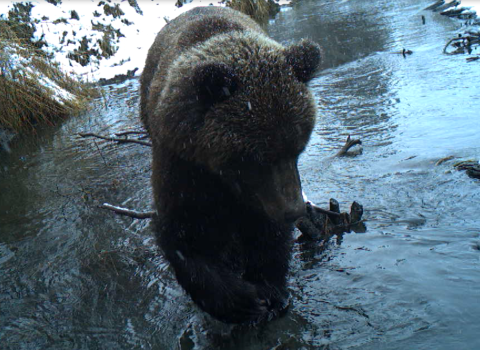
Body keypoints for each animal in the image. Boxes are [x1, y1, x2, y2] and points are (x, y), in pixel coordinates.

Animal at [141, 5, 320, 324]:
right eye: (256, 157)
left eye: (298, 147)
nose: (294, 210)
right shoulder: (182, 165)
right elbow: (185, 237)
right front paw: (242, 301)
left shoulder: (261, 194)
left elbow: (266, 232)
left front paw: (270, 290)